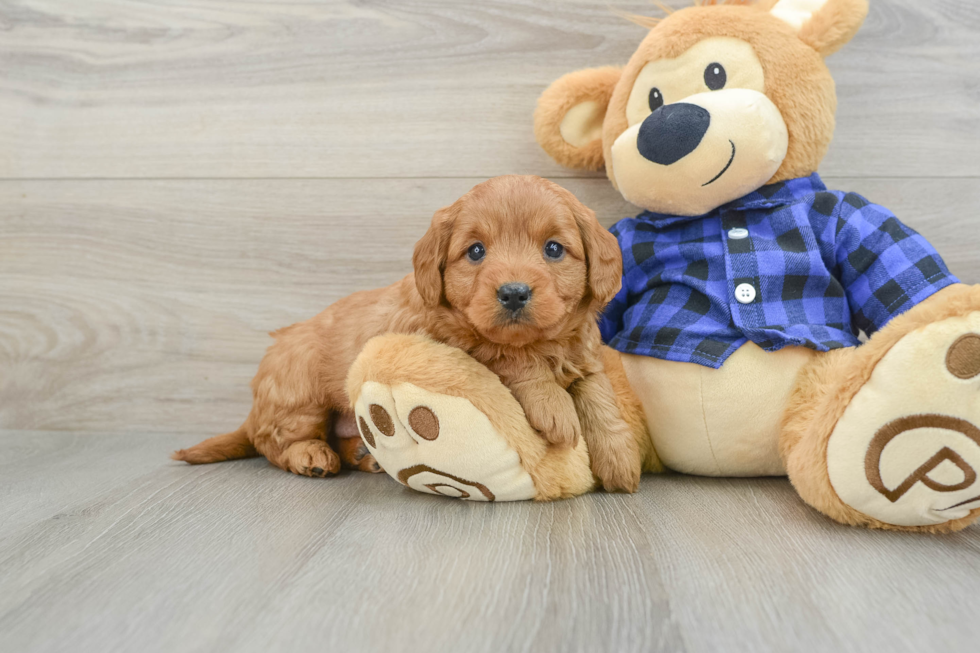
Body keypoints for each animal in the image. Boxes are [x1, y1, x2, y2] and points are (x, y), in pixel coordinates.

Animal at [176, 176, 644, 492]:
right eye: (476, 251)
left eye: (553, 248)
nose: (513, 293)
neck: (544, 342)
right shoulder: (453, 338)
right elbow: (511, 357)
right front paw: (555, 407)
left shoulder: (584, 355)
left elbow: (599, 394)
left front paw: (619, 457)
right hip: (299, 396)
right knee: (271, 441)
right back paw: (310, 455)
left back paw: (363, 455)